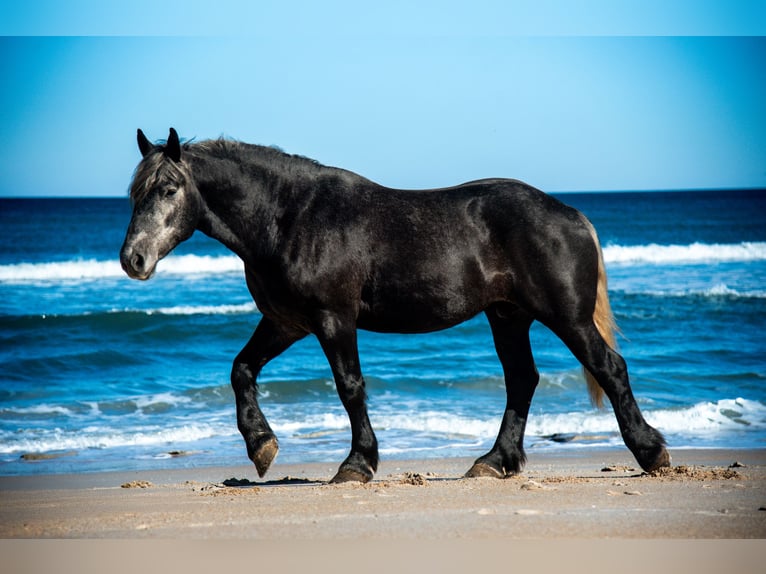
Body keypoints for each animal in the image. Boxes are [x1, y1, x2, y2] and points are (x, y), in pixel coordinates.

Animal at [120, 128, 670, 483]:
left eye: (168, 188)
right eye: (134, 194)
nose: (133, 258)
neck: (290, 217)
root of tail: (571, 214)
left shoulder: (332, 320)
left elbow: (350, 388)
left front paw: (356, 464)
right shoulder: (285, 322)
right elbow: (241, 370)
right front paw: (261, 447)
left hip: (565, 317)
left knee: (609, 368)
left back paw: (651, 452)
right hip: (508, 317)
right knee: (522, 380)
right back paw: (494, 461)